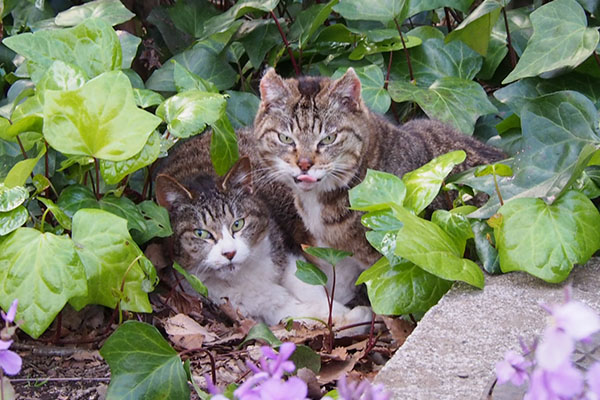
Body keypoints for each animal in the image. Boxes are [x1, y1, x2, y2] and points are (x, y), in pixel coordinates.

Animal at [155, 133, 370, 326]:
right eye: (201, 233)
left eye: (238, 224)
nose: (229, 253)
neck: (245, 274)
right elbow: (290, 310)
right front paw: (348, 317)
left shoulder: (286, 248)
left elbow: (308, 283)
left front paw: (345, 311)